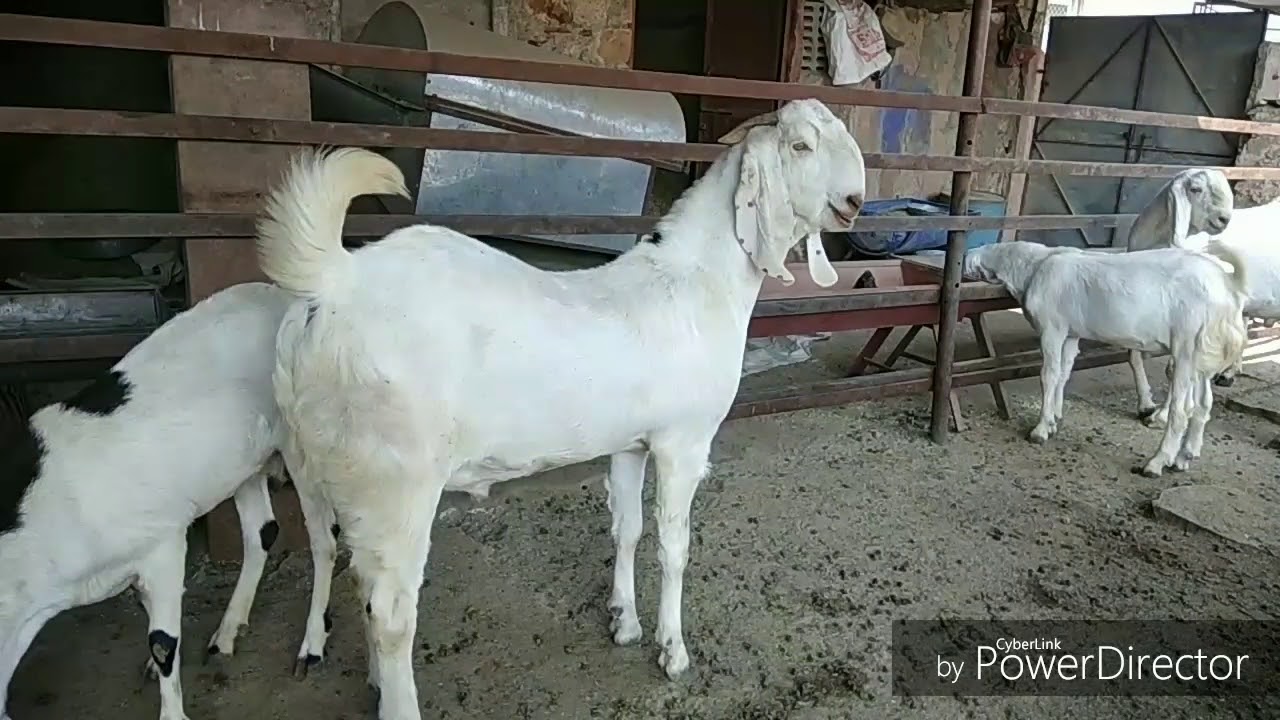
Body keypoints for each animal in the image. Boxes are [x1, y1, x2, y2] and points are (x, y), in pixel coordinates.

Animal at [0, 282, 331, 720]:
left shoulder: (164, 544)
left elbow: (162, 642)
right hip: (239, 463)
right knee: (262, 530)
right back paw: (227, 630)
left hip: (299, 444)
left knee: (323, 539)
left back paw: (312, 646)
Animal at [256, 98, 866, 719]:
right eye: (800, 146)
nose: (854, 202)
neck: (693, 282)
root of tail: (334, 283)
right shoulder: (683, 442)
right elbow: (673, 546)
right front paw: (672, 650)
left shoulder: (630, 443)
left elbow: (627, 528)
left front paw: (624, 622)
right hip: (396, 481)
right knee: (391, 612)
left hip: (316, 466)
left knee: (344, 565)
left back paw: (376, 681)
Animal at [963, 240, 1248, 478]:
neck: (1035, 265)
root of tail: (1228, 288)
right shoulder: (1071, 333)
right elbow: (1064, 373)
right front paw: (1055, 418)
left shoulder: (1051, 328)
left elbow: (1049, 375)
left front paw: (1040, 429)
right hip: (1203, 351)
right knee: (1203, 404)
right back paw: (1184, 458)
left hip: (1187, 345)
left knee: (1181, 410)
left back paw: (1156, 463)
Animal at [1122, 168, 1234, 422]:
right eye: (1195, 189)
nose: (1224, 219)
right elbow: (1134, 355)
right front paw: (1145, 404)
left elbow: (1175, 368)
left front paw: (1162, 415)